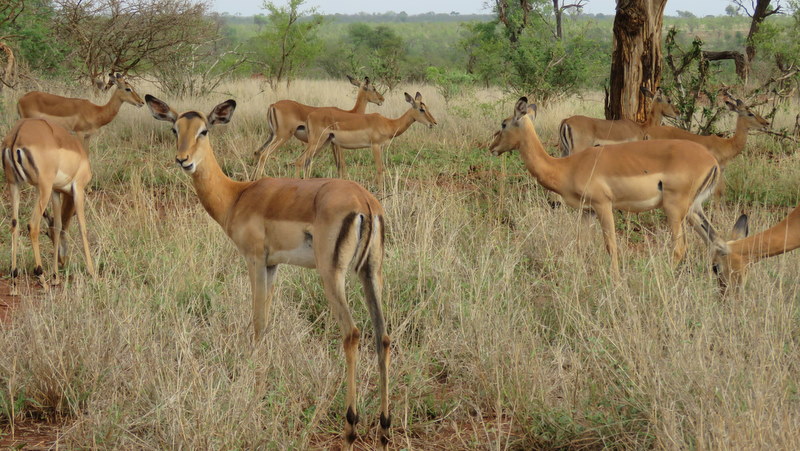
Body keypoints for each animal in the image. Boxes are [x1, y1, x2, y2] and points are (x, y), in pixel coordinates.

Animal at [2, 119, 96, 295]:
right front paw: (92, 272)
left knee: (14, 225)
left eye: (48, 234)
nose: (62, 261)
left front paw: (56, 278)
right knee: (32, 225)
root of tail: (18, 133)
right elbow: (83, 228)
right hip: (42, 187)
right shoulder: (78, 189)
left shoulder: (56, 192)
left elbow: (58, 226)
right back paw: (42, 279)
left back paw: (14, 283)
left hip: (14, 185)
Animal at [145, 95, 391, 450]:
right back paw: (384, 428)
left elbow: (258, 322)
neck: (237, 196)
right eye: (175, 128)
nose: (183, 161)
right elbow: (269, 320)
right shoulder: (274, 265)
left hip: (333, 276)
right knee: (382, 335)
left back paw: (350, 427)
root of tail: (366, 203)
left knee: (352, 333)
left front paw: (255, 383)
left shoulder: (255, 261)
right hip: (371, 274)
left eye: (204, 130)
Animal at [254, 76, 385, 177]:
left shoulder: (332, 144)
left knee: (258, 153)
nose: (382, 99)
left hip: (272, 136)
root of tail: (273, 105)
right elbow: (341, 164)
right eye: (373, 88)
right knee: (266, 155)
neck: (351, 113)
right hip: (284, 136)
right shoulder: (337, 145)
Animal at [297, 91, 437, 181]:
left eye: (427, 107)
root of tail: (310, 116)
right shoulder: (375, 146)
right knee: (300, 161)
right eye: (421, 109)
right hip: (317, 142)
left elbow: (382, 169)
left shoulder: (381, 147)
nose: (434, 123)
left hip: (324, 143)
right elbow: (379, 170)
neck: (388, 123)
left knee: (306, 162)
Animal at [490, 97, 720, 278]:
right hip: (692, 210)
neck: (567, 167)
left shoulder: (603, 205)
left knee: (681, 247)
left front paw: (616, 281)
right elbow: (581, 244)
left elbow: (611, 245)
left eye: (504, 124)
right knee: (715, 241)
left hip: (674, 208)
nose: (492, 147)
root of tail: (712, 161)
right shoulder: (587, 211)